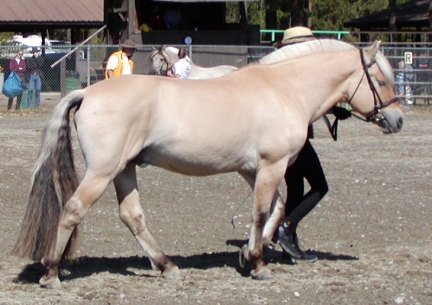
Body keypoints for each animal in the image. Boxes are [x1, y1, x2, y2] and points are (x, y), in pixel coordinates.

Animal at [13, 40, 404, 288]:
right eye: (379, 79)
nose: (397, 120)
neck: (284, 90)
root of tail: (86, 92)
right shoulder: (272, 165)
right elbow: (262, 212)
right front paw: (258, 263)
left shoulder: (252, 170)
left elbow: (276, 209)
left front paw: (247, 254)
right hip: (102, 172)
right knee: (73, 209)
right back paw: (51, 273)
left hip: (124, 169)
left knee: (132, 216)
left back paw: (167, 266)